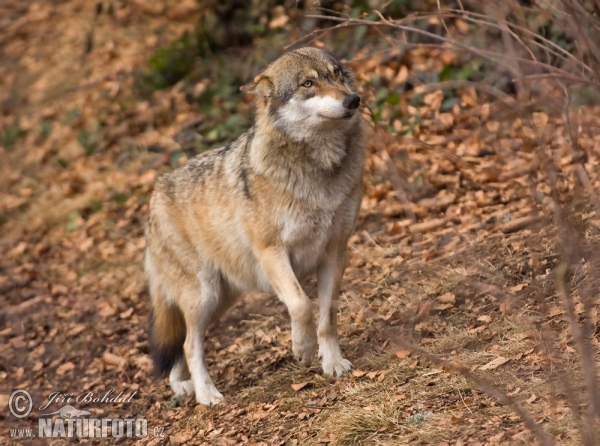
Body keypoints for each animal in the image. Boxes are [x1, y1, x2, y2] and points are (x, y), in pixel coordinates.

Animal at [146, 47, 366, 406]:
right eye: (307, 83)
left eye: (337, 74)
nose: (353, 100)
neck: (317, 172)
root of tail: (154, 193)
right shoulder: (272, 252)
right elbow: (302, 306)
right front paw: (304, 351)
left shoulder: (336, 252)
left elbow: (327, 317)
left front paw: (332, 363)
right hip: (203, 296)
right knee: (190, 345)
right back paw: (206, 395)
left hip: (220, 301)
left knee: (180, 343)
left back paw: (182, 386)